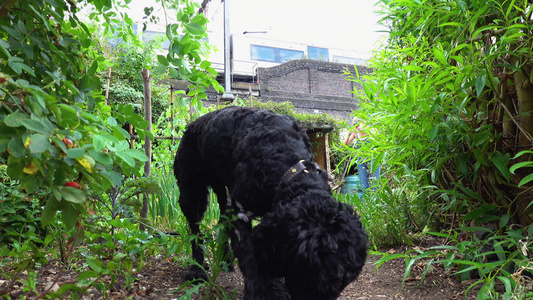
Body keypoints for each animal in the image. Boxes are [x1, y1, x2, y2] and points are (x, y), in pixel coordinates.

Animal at [174, 106, 366, 298]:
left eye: (339, 285)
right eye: (307, 276)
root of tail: (193, 124)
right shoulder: (241, 214)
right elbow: (251, 259)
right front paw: (260, 291)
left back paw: (226, 260)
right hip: (192, 193)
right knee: (195, 232)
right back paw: (197, 270)